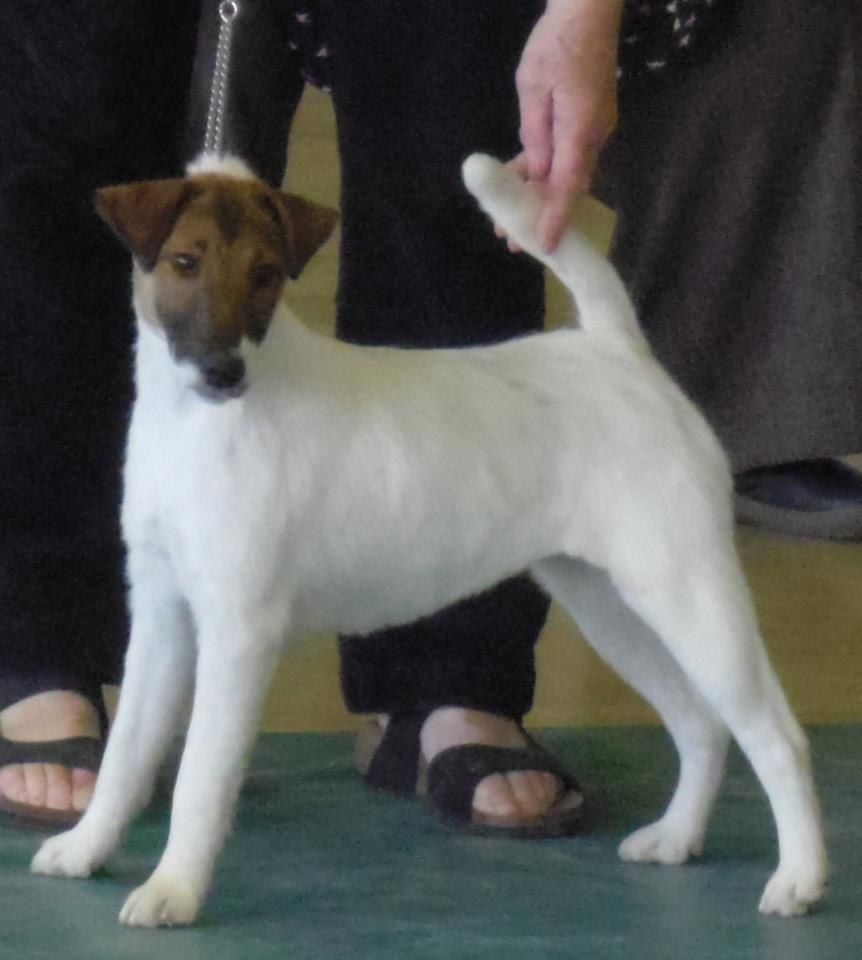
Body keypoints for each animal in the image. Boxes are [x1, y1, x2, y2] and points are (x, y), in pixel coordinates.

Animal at [32, 154, 832, 928]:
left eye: (266, 274)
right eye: (184, 261)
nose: (224, 373)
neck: (199, 428)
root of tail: (618, 356)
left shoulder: (237, 634)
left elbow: (200, 777)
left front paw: (174, 890)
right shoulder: (162, 619)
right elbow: (126, 756)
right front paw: (86, 847)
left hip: (686, 592)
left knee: (775, 735)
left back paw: (800, 878)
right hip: (611, 607)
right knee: (701, 723)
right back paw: (676, 837)